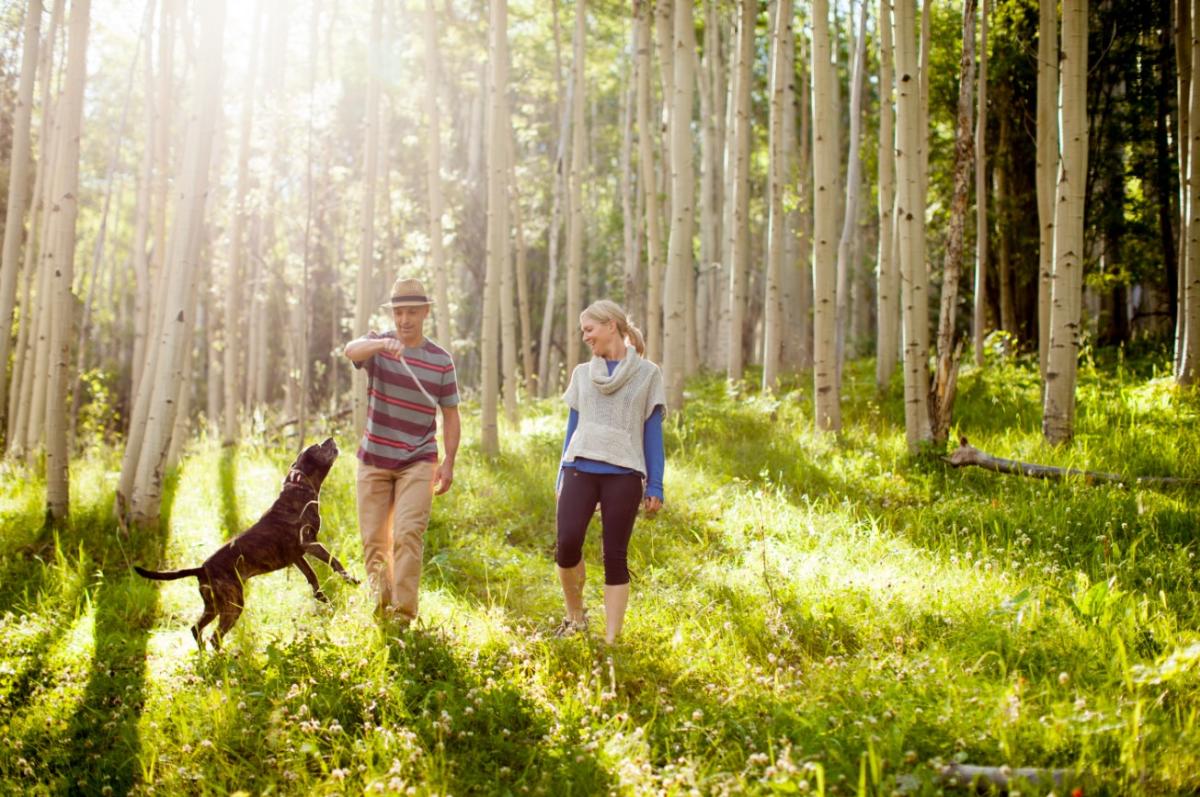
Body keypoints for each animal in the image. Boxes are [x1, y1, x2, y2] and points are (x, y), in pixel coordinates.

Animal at [133, 439, 355, 652]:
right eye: (318, 446)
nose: (331, 438)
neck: (298, 490)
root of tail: (202, 568)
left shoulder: (298, 556)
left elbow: (312, 576)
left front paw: (323, 598)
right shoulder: (309, 543)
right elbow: (334, 561)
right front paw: (351, 579)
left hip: (213, 606)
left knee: (196, 629)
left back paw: (205, 656)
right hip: (233, 604)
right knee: (215, 637)